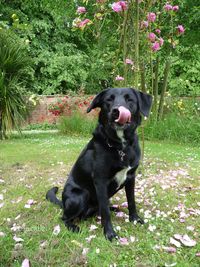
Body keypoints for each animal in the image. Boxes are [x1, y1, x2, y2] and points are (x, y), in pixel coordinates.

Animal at [46, 88, 152, 243]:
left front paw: (134, 219)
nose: (116, 111)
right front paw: (109, 233)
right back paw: (73, 226)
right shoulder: (100, 181)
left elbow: (131, 201)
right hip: (80, 195)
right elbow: (105, 212)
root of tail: (63, 204)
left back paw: (114, 208)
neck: (120, 146)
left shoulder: (131, 177)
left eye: (130, 99)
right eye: (108, 100)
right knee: (65, 217)